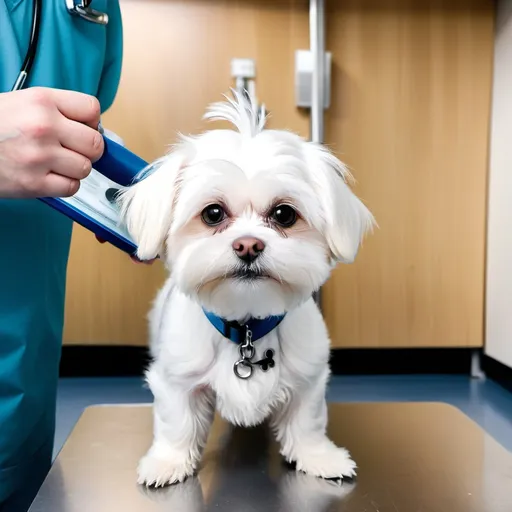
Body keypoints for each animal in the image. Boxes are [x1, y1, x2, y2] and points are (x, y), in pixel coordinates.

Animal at [119, 91, 376, 488]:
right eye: (212, 214)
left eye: (284, 214)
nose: (248, 245)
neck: (246, 326)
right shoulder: (177, 380)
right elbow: (177, 423)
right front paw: (168, 462)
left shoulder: (308, 379)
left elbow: (307, 422)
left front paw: (319, 457)